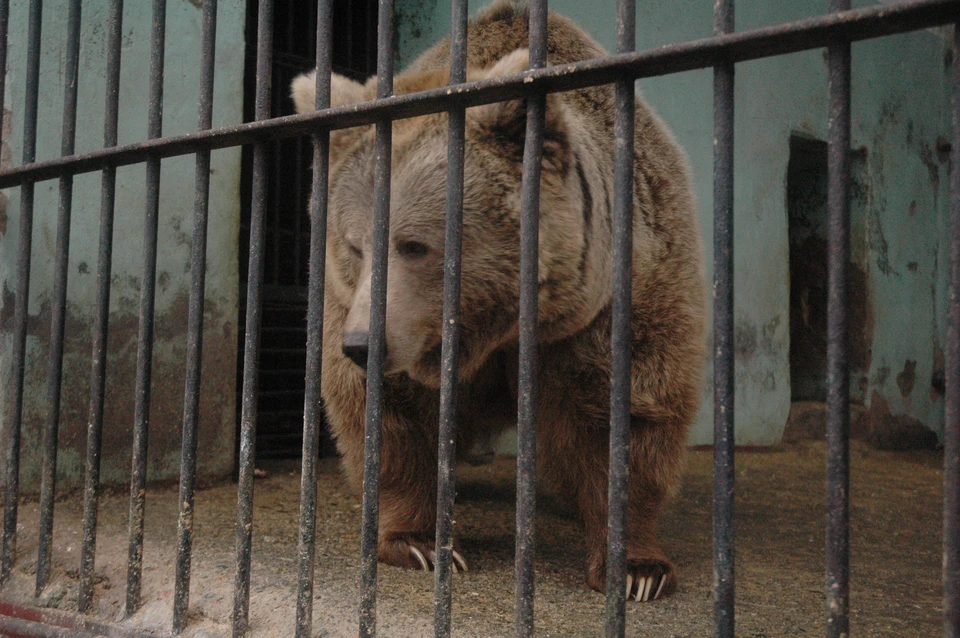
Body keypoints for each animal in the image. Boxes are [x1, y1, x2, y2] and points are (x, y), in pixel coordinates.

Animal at [290, 0, 704, 604]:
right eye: (354, 245)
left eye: (414, 244)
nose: (362, 344)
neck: (500, 327)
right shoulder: (368, 315)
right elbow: (390, 416)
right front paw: (420, 542)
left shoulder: (619, 295)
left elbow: (622, 412)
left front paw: (636, 568)